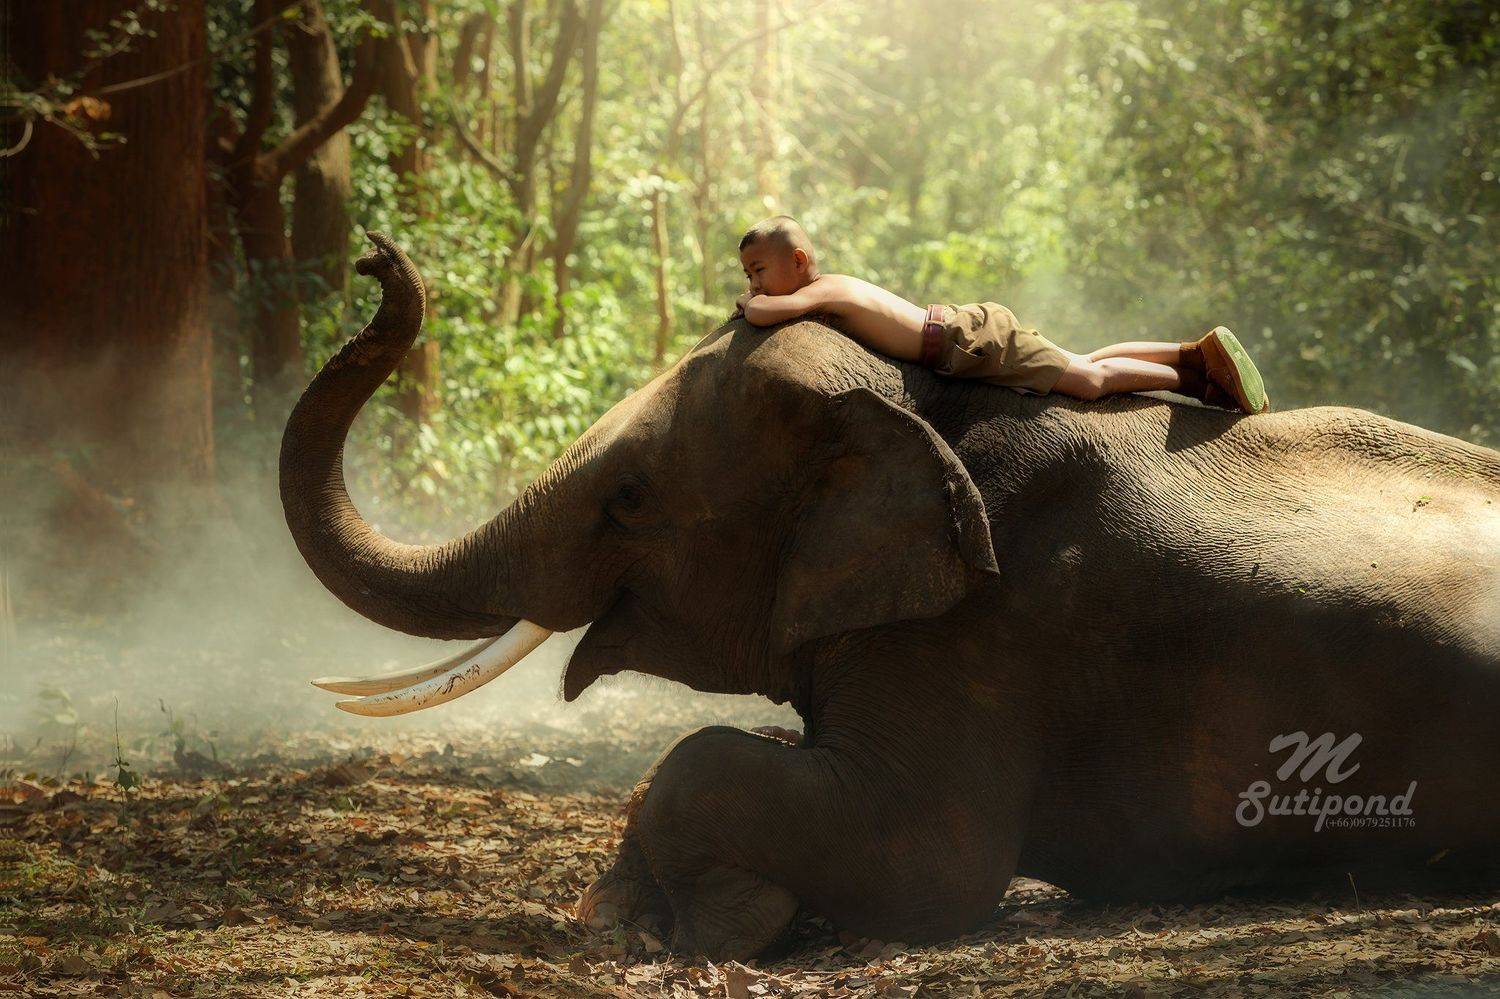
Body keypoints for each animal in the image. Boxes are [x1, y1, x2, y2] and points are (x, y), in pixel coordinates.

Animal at [281, 233, 1500, 961]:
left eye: (628, 500)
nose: (374, 259)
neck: (916, 405)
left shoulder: (985, 626)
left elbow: (924, 862)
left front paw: (729, 920)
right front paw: (631, 911)